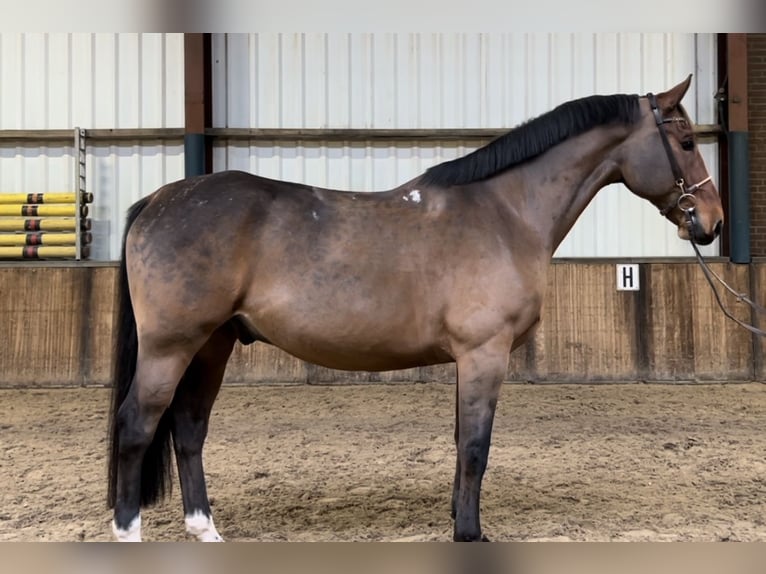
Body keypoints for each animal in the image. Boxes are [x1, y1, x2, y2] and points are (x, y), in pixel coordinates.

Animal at [106, 76, 728, 544]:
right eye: (687, 141)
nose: (712, 221)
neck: (504, 212)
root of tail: (157, 200)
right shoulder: (484, 355)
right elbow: (475, 446)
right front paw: (470, 534)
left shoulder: (469, 360)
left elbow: (460, 442)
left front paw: (458, 521)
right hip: (171, 346)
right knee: (137, 425)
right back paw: (129, 531)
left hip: (212, 344)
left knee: (188, 427)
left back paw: (206, 530)